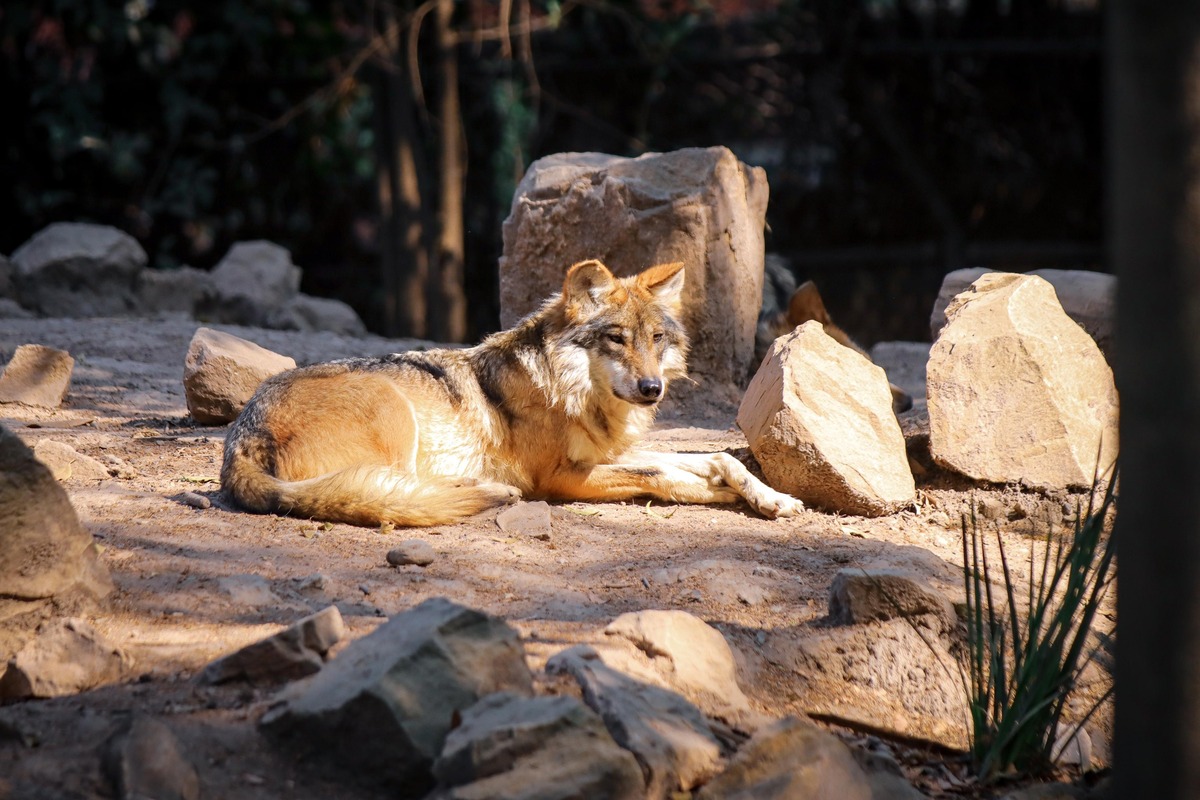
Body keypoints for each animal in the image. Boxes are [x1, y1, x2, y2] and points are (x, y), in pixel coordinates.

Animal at [221, 260, 804, 527]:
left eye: (656, 339)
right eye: (616, 339)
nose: (652, 388)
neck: (571, 391)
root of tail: (238, 439)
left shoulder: (606, 454)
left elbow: (717, 457)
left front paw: (769, 496)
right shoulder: (563, 477)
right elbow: (662, 475)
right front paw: (720, 494)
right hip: (393, 409)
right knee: (393, 493)